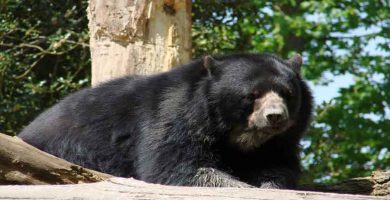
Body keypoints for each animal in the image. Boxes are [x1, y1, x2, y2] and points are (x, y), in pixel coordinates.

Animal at [19, 52, 314, 188]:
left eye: (287, 94)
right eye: (252, 95)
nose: (275, 117)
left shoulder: (279, 143)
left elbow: (279, 167)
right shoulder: (172, 117)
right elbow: (177, 168)